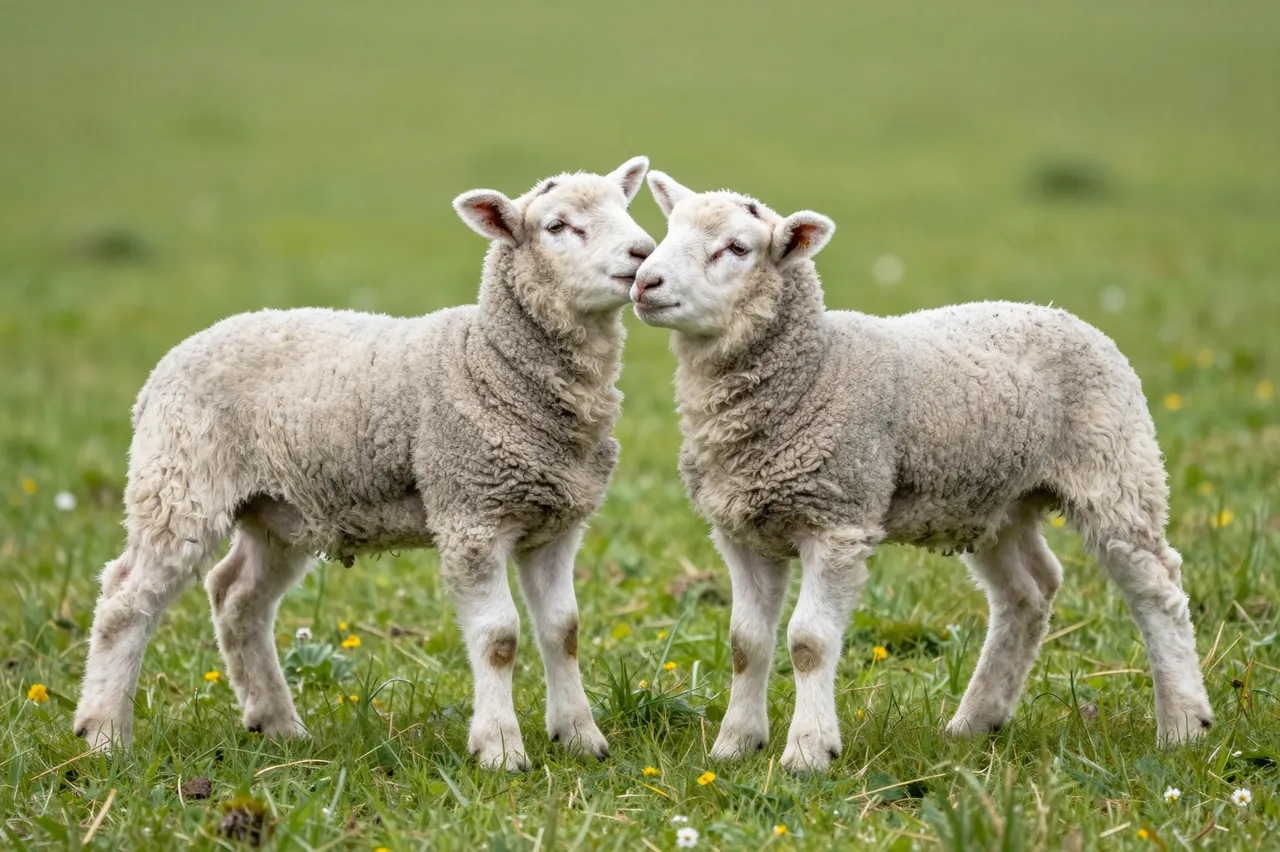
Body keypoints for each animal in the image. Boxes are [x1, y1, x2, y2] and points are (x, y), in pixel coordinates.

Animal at [72, 157, 656, 771]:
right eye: (557, 226)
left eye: (625, 208)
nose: (644, 252)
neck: (489, 359)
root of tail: (167, 364)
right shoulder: (470, 512)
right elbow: (498, 638)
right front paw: (500, 749)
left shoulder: (557, 523)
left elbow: (564, 631)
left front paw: (581, 737)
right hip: (178, 481)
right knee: (124, 601)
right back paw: (105, 734)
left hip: (277, 511)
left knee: (237, 597)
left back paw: (278, 725)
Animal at [630, 171, 1213, 773]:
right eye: (669, 230)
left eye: (737, 248)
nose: (645, 282)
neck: (812, 368)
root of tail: (1061, 312)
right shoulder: (742, 530)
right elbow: (746, 643)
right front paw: (734, 746)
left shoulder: (838, 519)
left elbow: (809, 642)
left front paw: (809, 751)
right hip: (997, 499)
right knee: (1028, 592)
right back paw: (976, 721)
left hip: (1115, 467)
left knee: (1158, 589)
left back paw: (1184, 725)